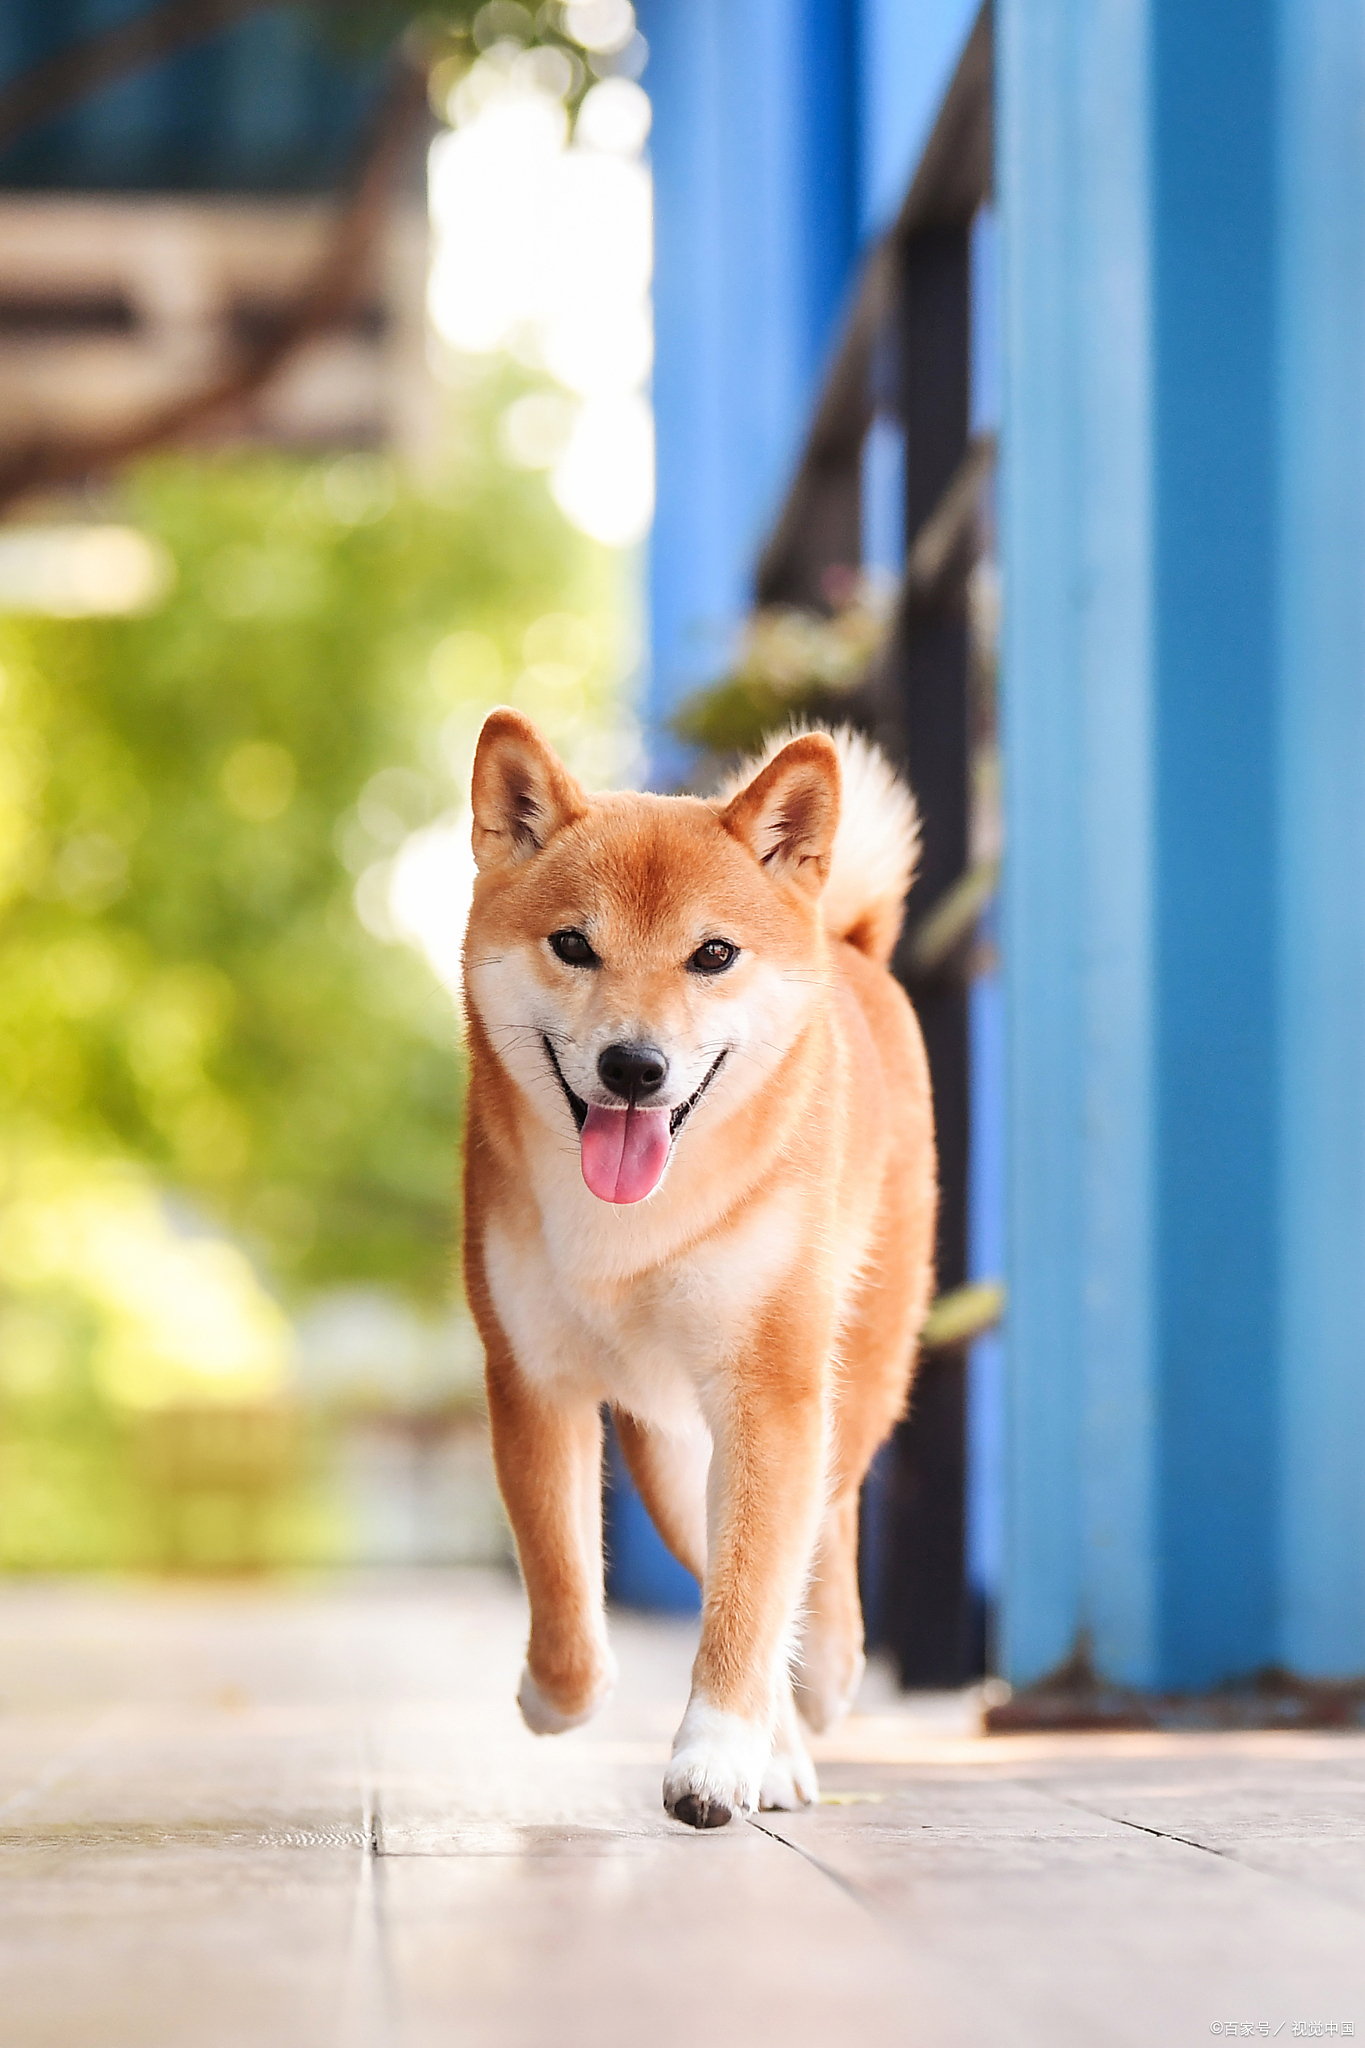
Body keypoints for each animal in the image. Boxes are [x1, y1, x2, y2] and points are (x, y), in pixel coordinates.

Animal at [464, 712, 933, 1835]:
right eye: (574, 943)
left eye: (711, 954)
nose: (634, 1067)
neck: (632, 1227)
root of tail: (849, 944)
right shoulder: (533, 1381)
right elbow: (565, 1597)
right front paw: (555, 1695)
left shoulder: (769, 1394)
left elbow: (755, 1594)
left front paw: (715, 1756)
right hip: (677, 1463)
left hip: (844, 1378)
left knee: (822, 1527)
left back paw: (820, 1682)